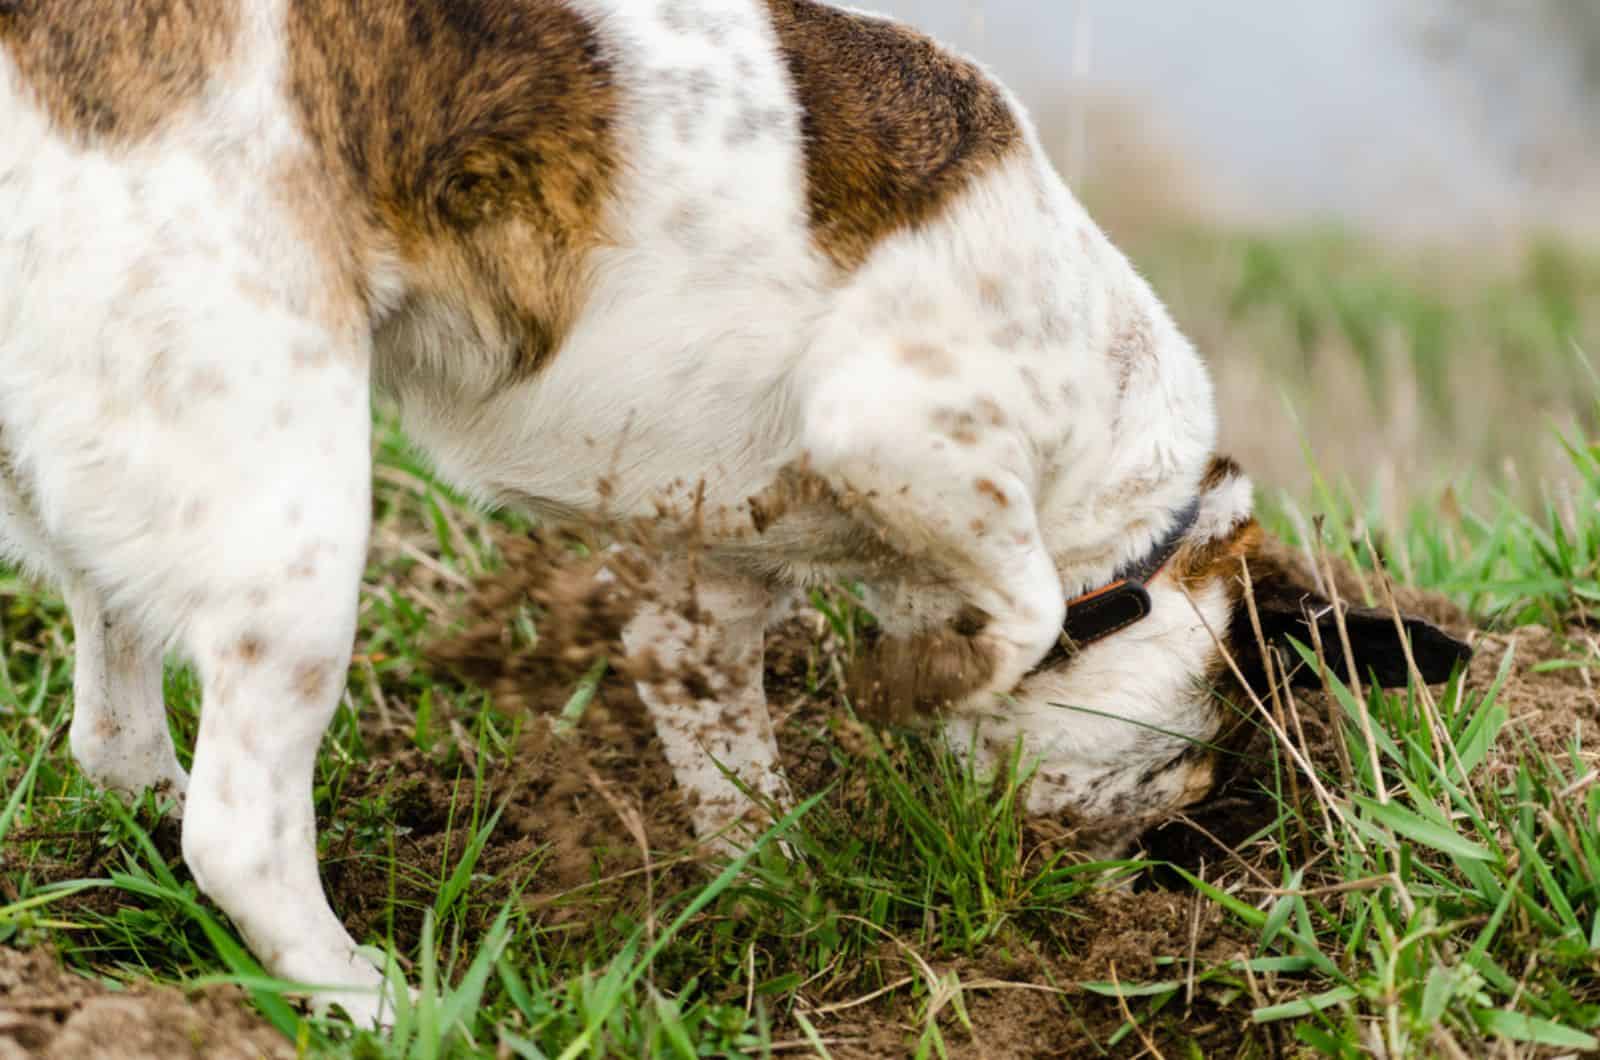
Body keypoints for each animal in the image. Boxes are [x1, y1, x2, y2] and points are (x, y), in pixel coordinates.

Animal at [3, 0, 1472, 1031]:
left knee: (114, 717)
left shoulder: (698, 603)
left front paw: (778, 900)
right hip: (292, 507)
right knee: (242, 833)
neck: (1123, 501)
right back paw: (375, 998)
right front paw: (919, 678)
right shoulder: (903, 424)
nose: (1093, 900)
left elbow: (734, 768)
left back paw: (145, 823)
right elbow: (1017, 604)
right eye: (1180, 790)